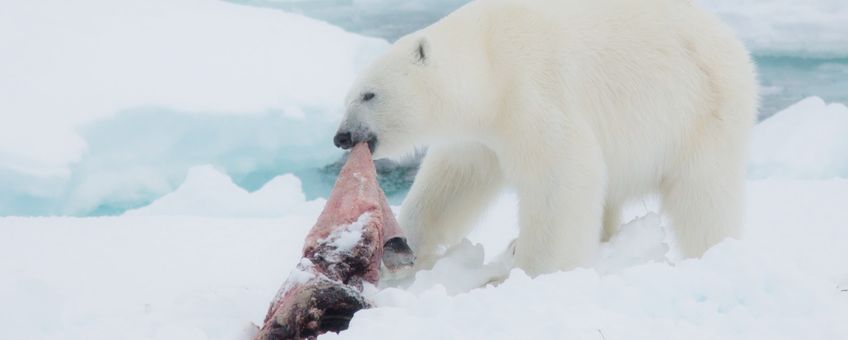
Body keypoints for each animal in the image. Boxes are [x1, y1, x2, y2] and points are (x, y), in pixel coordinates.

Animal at [330, 0, 756, 276]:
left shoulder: (535, 90)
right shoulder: (481, 133)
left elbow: (564, 175)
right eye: (348, 96)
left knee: (703, 197)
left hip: (701, 113)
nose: (342, 136)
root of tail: (734, 44)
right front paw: (404, 247)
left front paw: (529, 273)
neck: (490, 59)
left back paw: (713, 254)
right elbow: (453, 181)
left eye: (369, 94)